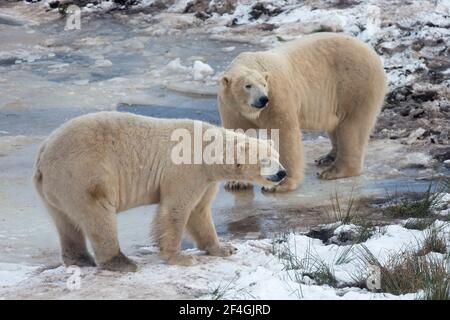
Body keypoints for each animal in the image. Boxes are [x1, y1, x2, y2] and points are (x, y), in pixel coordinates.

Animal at [33, 111, 284, 272]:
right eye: (265, 160)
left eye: (277, 156)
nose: (282, 173)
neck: (207, 150)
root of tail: (43, 153)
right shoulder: (187, 169)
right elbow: (176, 209)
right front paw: (180, 258)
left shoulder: (206, 179)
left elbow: (199, 212)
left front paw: (224, 248)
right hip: (84, 172)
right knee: (98, 214)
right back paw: (122, 263)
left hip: (56, 189)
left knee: (65, 221)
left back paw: (80, 259)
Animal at [219, 32, 386, 192]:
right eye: (248, 85)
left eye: (264, 84)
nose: (263, 99)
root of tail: (372, 52)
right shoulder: (232, 107)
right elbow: (239, 134)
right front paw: (236, 182)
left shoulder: (277, 97)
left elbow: (285, 134)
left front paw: (280, 184)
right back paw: (327, 158)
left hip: (355, 84)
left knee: (352, 126)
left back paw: (334, 171)